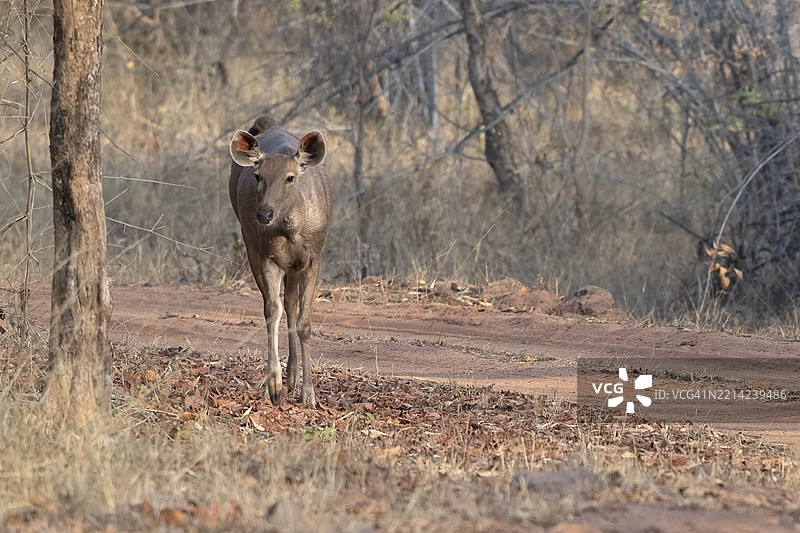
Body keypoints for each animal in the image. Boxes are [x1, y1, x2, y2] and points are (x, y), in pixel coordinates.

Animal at [228, 116, 332, 408]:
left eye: (290, 178)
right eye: (258, 176)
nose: (264, 214)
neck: (291, 230)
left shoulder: (313, 257)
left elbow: (304, 323)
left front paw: (308, 393)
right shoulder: (267, 256)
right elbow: (271, 311)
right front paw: (273, 386)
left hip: (294, 264)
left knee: (291, 304)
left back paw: (294, 377)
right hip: (250, 244)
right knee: (279, 304)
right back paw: (286, 378)